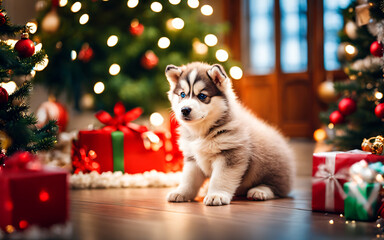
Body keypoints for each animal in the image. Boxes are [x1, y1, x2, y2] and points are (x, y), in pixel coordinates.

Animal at [164, 62, 294, 206]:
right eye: (182, 94)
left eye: (202, 96)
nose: (185, 110)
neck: (202, 132)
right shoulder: (192, 158)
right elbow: (188, 179)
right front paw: (181, 193)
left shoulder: (230, 154)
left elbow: (220, 178)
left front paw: (216, 195)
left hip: (270, 167)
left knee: (277, 189)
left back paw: (259, 191)